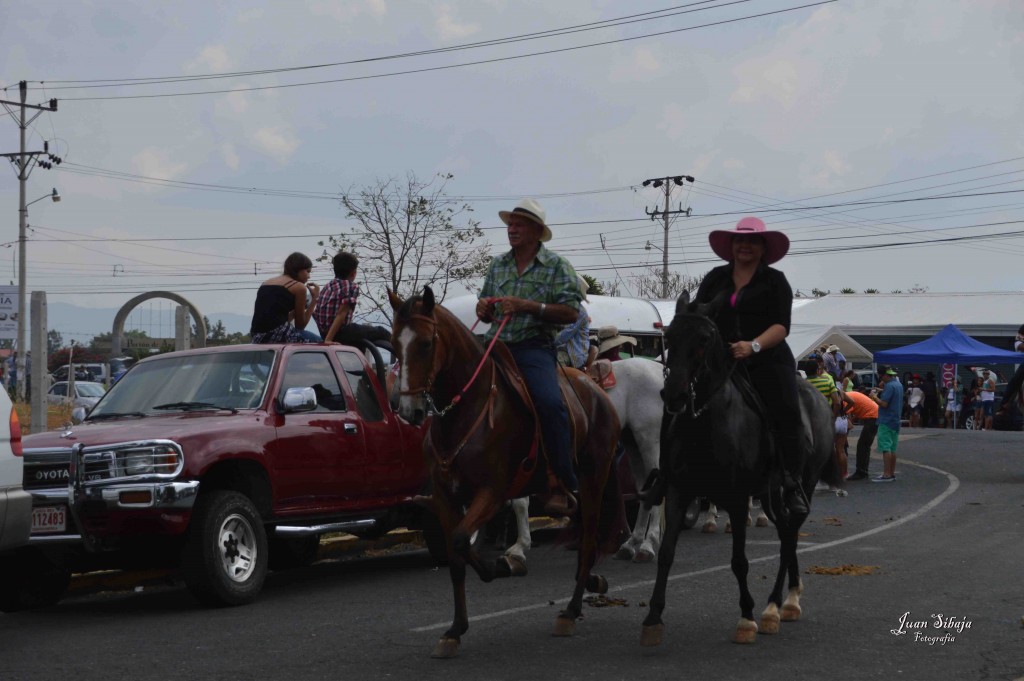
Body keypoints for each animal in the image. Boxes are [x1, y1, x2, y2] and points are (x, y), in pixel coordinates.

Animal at [385, 288, 618, 659]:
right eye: (394, 343)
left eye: (425, 343)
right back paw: (592, 581)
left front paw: (504, 565)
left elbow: (462, 540)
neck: (465, 412)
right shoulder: (444, 498)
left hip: (594, 478)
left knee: (590, 533)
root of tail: (597, 392)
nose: (408, 410)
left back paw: (570, 610)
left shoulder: (492, 493)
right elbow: (455, 557)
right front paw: (454, 630)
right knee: (583, 530)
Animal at [643, 290, 835, 643]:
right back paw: (785, 601)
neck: (705, 421)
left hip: (804, 484)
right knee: (786, 531)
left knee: (790, 535)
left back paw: (776, 606)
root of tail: (819, 399)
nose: (674, 394)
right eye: (669, 336)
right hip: (771, 495)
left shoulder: (735, 497)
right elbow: (666, 553)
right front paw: (653, 617)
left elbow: (739, 561)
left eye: (704, 339)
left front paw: (746, 618)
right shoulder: (678, 491)